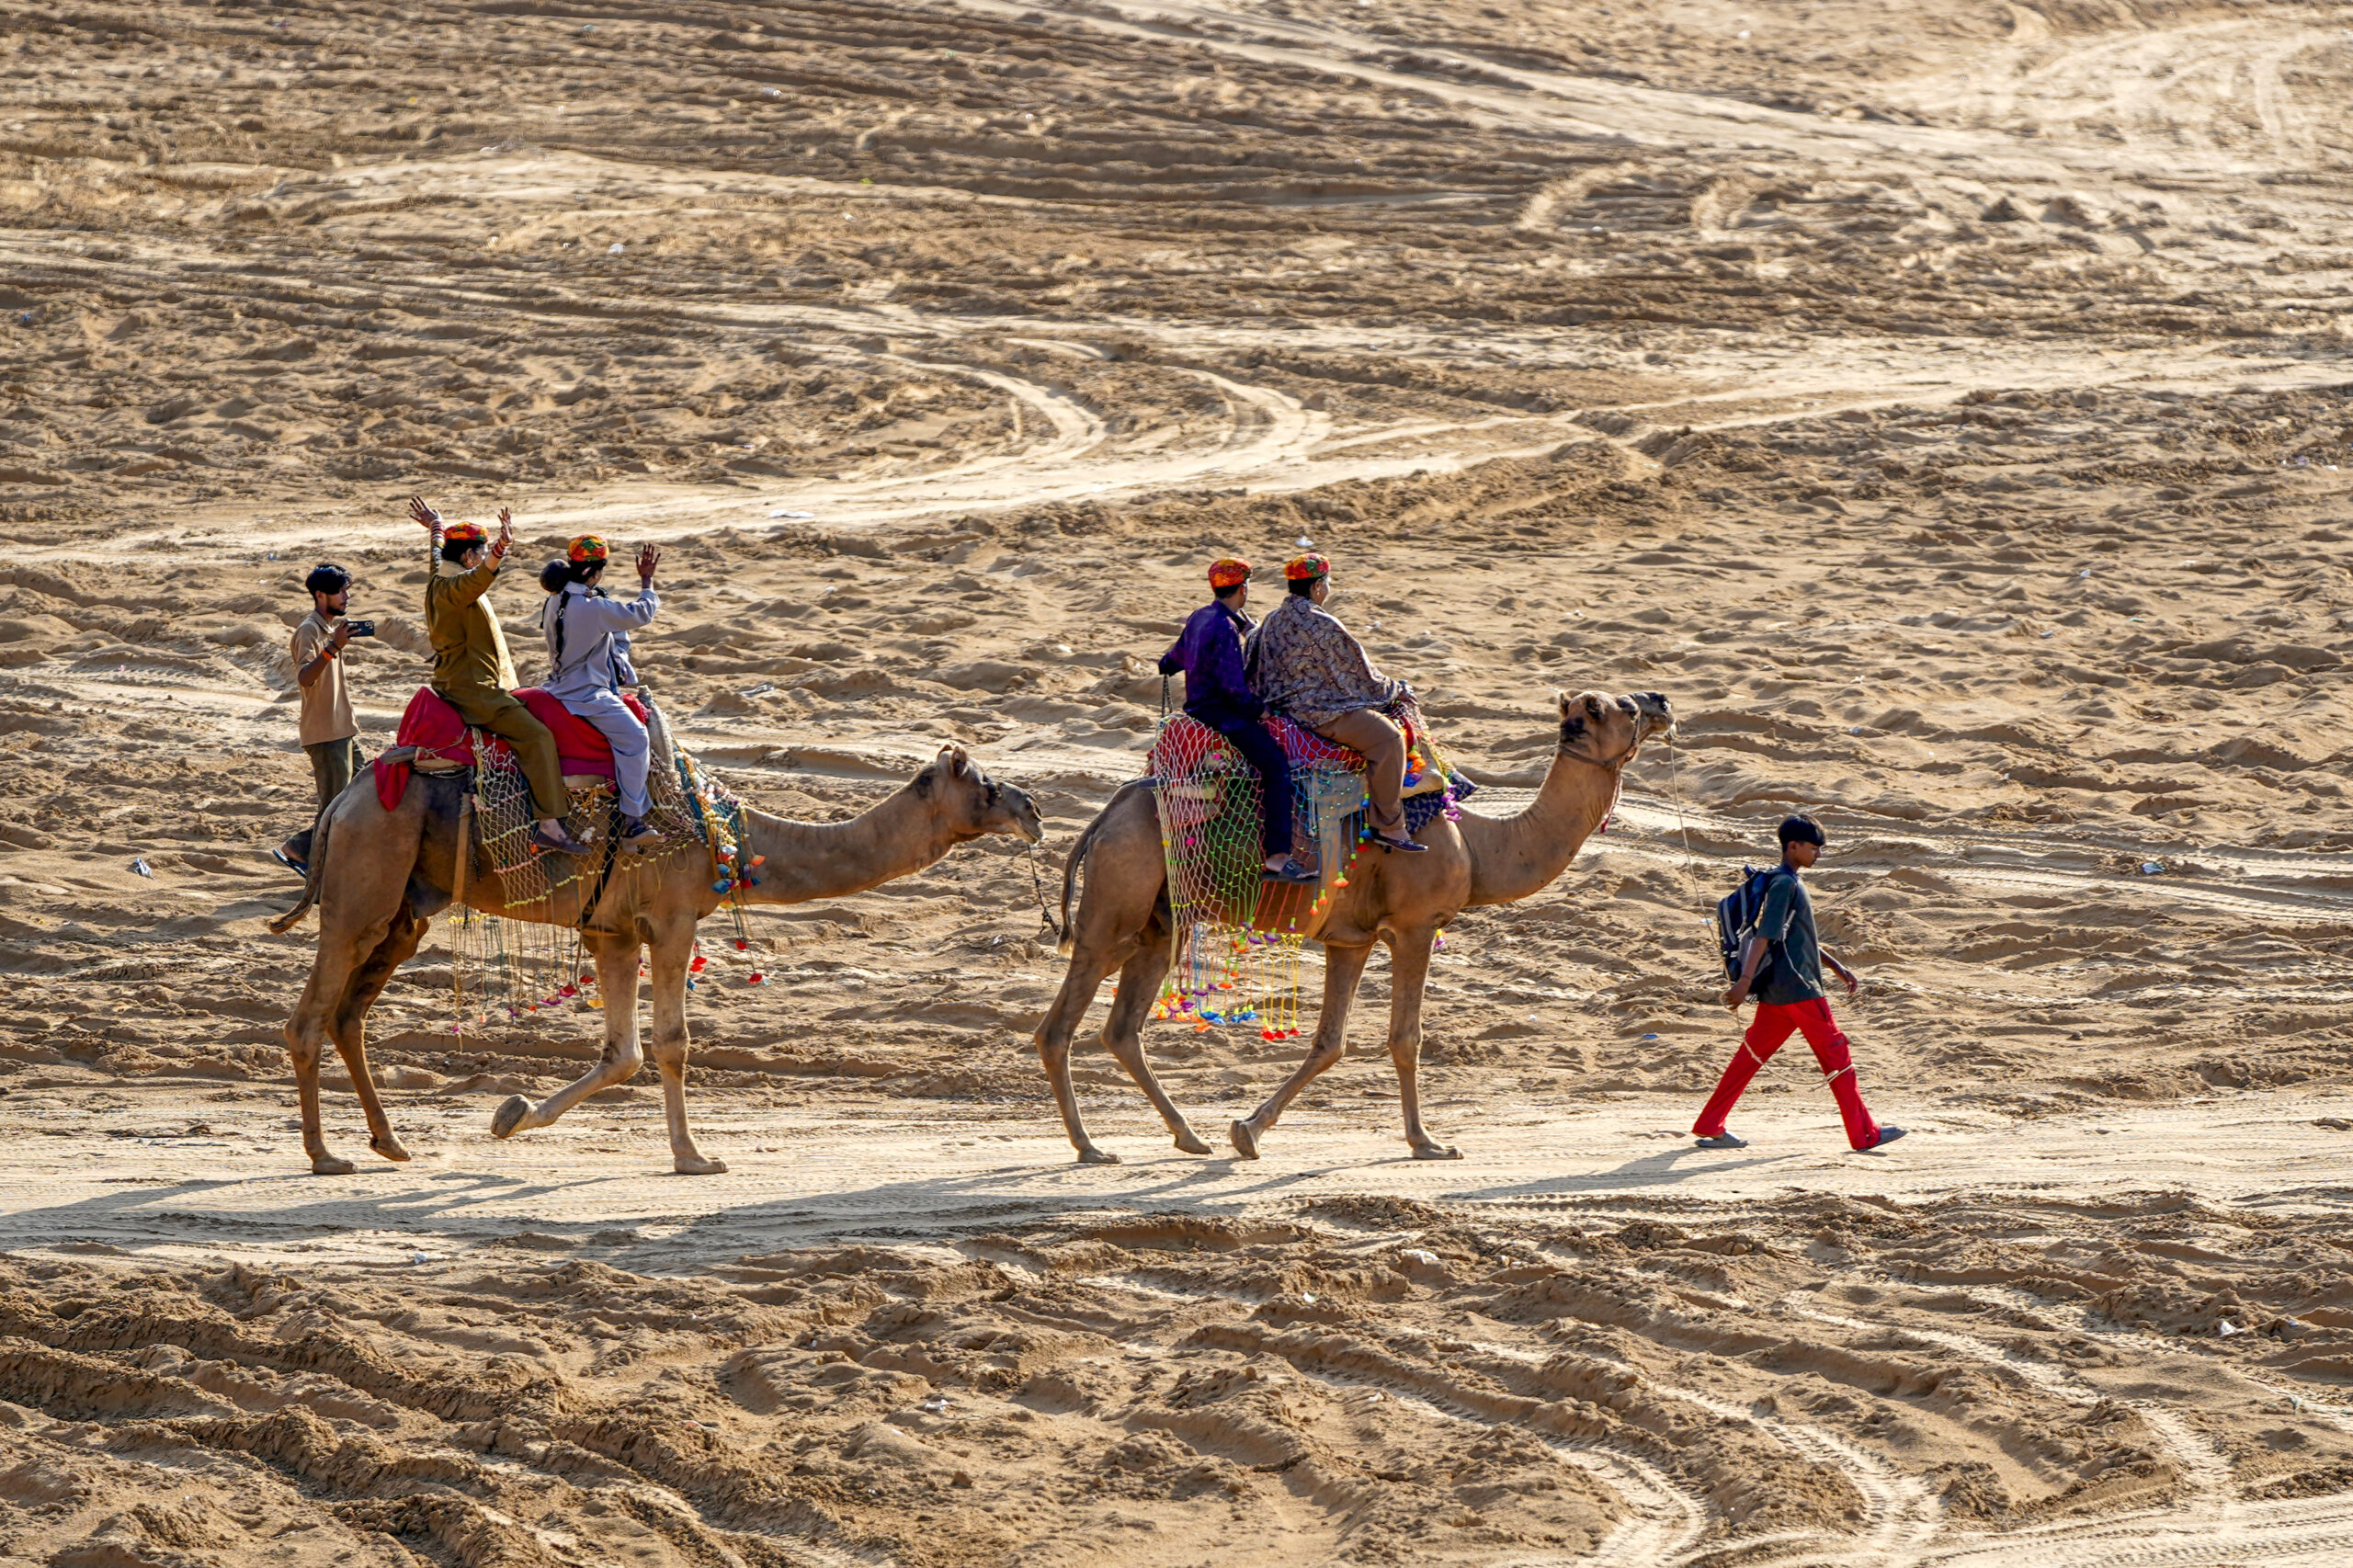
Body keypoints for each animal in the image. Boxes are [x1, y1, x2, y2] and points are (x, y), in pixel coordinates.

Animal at [276, 742, 1042, 1176]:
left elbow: (624, 1054)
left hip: (406, 910)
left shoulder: (612, 930)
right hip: (362, 886)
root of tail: (339, 804)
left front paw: (511, 1115)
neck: (730, 837)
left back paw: (388, 1143)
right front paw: (694, 1158)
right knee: (309, 1017)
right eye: (984, 784)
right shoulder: (671, 921)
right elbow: (671, 1044)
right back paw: (325, 1156)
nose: (1034, 810)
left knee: (348, 1014)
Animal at [1035, 689, 1672, 1164]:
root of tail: (1107, 815)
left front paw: (1247, 1132)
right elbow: (1405, 1038)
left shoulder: (1351, 939)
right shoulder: (1415, 926)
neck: (1480, 846)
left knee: (1121, 1028)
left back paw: (1188, 1136)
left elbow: (1330, 1042)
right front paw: (1427, 1143)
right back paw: (1090, 1147)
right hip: (1116, 906)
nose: (1661, 701)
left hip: (1160, 923)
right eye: (1616, 708)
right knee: (1060, 1024)